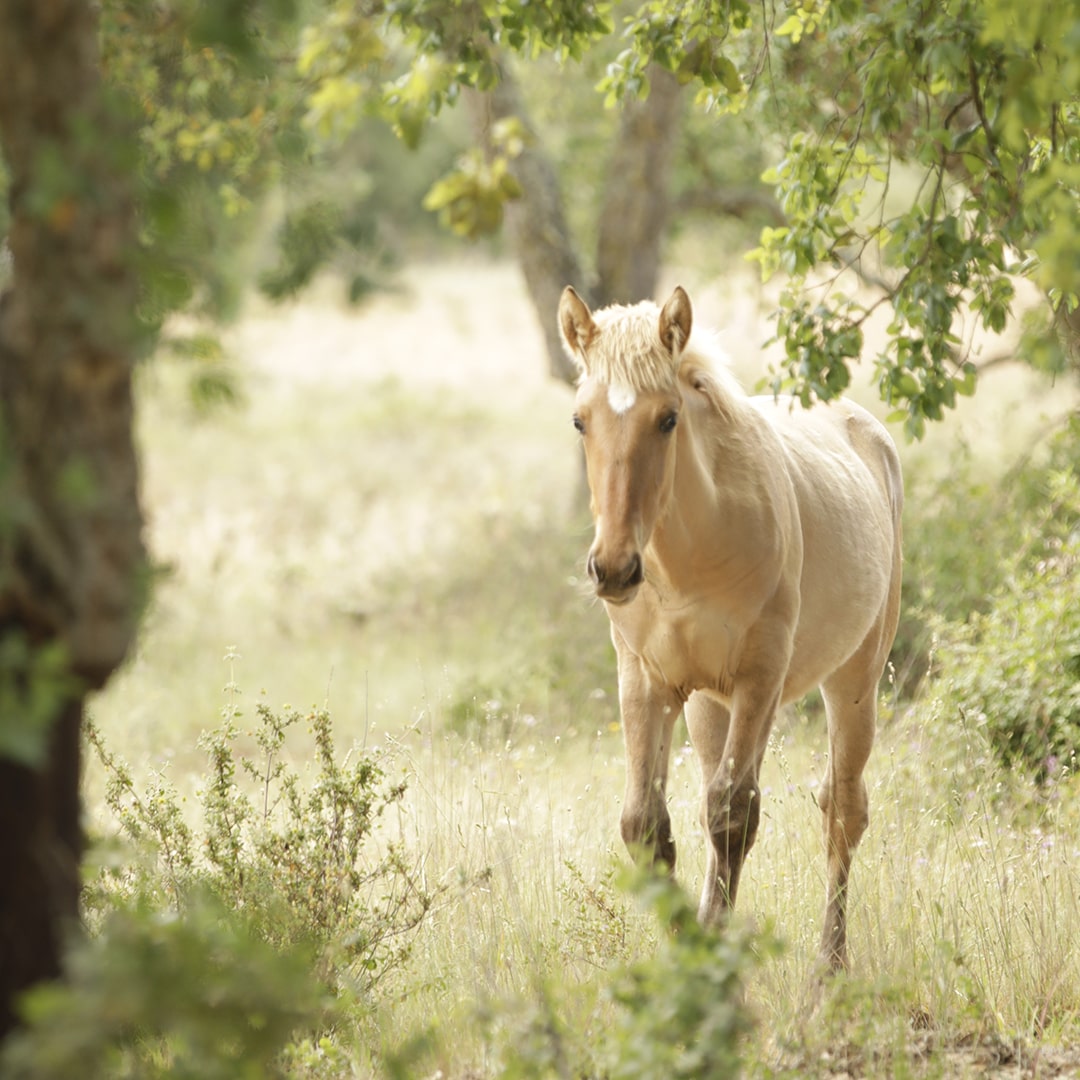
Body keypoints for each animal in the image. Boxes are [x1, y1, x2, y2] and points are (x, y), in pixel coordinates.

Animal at [557, 285, 902, 972]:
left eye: (668, 418)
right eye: (581, 420)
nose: (613, 568)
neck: (684, 562)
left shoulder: (758, 679)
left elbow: (732, 813)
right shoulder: (647, 683)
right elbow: (647, 825)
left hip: (853, 682)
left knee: (843, 811)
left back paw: (829, 969)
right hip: (707, 708)